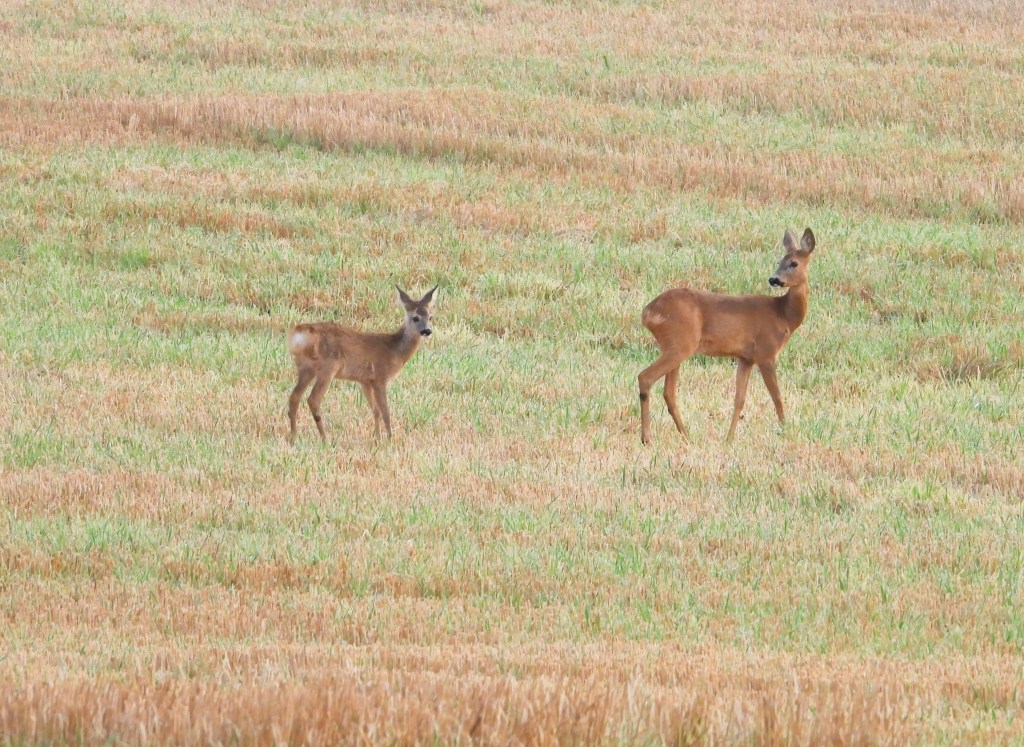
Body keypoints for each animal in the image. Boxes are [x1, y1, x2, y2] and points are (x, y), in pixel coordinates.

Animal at [287, 285, 437, 443]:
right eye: (415, 318)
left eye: (430, 317)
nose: (427, 330)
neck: (394, 350)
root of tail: (300, 335)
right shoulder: (380, 378)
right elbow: (385, 412)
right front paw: (390, 439)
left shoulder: (365, 381)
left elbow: (375, 410)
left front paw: (377, 438)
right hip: (328, 367)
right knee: (313, 399)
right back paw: (325, 439)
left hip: (305, 367)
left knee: (294, 397)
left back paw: (294, 437)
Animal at [638, 228, 817, 444]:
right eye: (780, 261)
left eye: (793, 263)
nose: (773, 279)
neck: (783, 315)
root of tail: (647, 313)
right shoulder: (766, 352)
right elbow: (777, 396)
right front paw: (785, 429)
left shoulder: (746, 358)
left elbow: (739, 399)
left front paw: (729, 438)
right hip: (680, 344)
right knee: (645, 377)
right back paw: (647, 438)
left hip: (675, 346)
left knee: (669, 392)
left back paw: (686, 435)